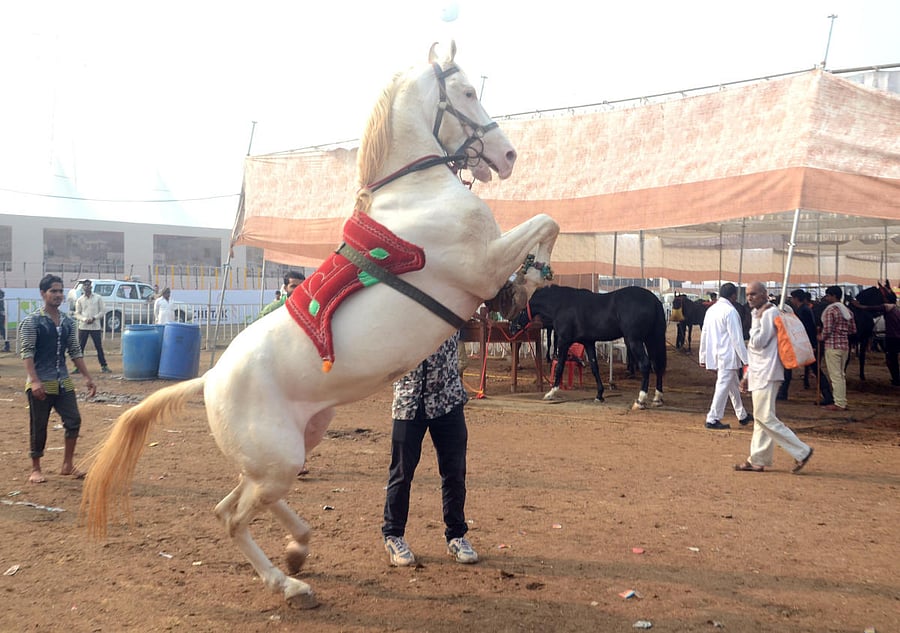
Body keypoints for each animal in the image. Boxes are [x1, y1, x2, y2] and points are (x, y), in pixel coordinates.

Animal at [80, 42, 560, 609]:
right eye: (466, 92)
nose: (507, 157)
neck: (417, 194)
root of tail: (208, 379)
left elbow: (545, 226)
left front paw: (523, 289)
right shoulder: (481, 265)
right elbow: (546, 223)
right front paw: (529, 283)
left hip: (293, 444)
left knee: (232, 505)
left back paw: (297, 551)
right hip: (281, 457)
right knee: (235, 517)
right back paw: (291, 584)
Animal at [510, 285, 667, 409]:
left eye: (519, 310)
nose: (512, 328)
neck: (561, 305)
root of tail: (654, 301)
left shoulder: (564, 341)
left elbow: (560, 366)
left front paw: (551, 393)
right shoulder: (588, 342)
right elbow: (594, 368)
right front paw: (599, 395)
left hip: (635, 340)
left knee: (645, 364)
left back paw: (640, 400)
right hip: (652, 339)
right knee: (657, 365)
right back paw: (657, 399)